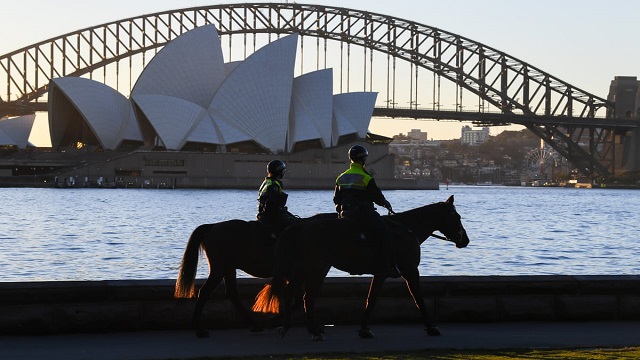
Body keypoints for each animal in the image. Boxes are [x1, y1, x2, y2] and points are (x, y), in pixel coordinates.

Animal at [175, 212, 336, 336]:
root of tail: (213, 226)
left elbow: (297, 299)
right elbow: (300, 299)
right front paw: (277, 320)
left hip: (228, 268)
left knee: (232, 294)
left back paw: (253, 325)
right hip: (219, 268)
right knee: (205, 292)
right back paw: (198, 329)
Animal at [252, 197, 468, 340]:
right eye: (457, 216)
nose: (465, 240)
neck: (407, 228)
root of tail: (300, 226)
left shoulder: (381, 273)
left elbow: (371, 299)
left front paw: (364, 328)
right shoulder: (410, 270)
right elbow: (419, 299)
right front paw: (431, 327)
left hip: (304, 269)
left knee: (292, 293)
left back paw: (289, 325)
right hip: (317, 268)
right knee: (306, 296)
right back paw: (309, 329)